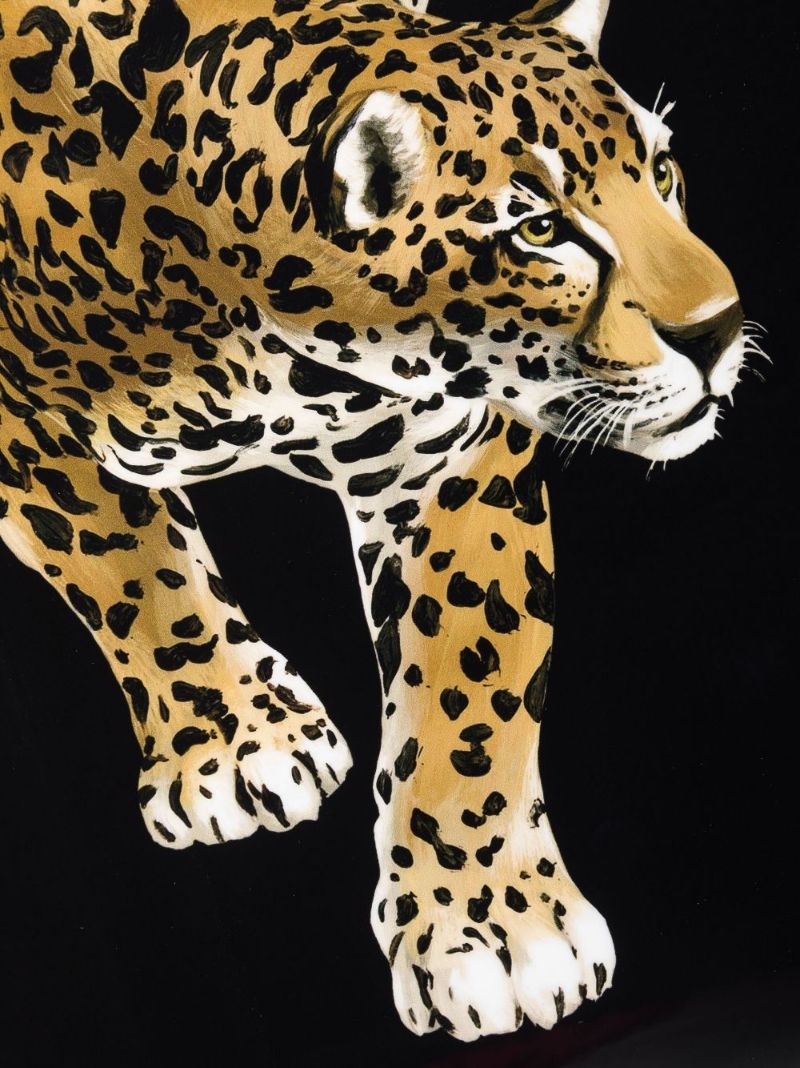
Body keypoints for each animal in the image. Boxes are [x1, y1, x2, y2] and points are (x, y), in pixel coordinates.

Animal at [0, 0, 754, 1042]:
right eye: (538, 228)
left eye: (664, 173)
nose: (718, 328)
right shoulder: (25, 422)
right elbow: (129, 564)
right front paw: (237, 740)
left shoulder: (449, 458)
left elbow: (470, 689)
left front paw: (496, 923)